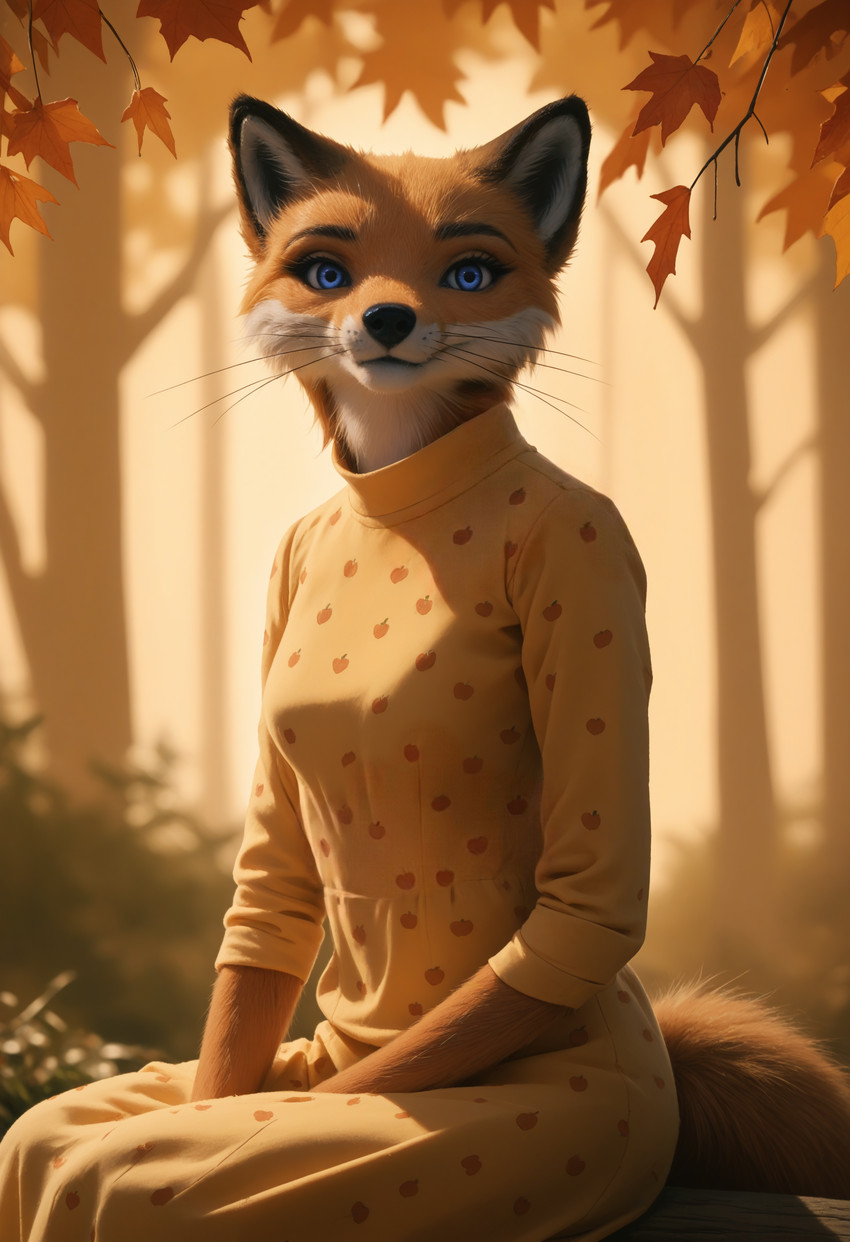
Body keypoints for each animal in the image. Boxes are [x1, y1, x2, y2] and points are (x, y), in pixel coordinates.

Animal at [221, 93, 850, 1205]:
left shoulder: (588, 558)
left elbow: (581, 900)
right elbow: (265, 904)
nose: (386, 321)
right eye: (326, 272)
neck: (401, 498)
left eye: (469, 272)